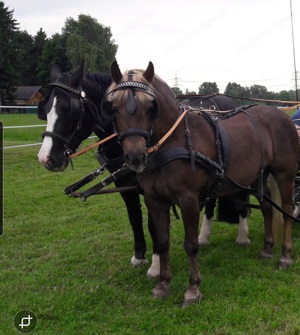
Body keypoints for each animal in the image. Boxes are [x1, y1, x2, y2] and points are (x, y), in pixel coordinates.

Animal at [102, 61, 298, 308]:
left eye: (151, 107)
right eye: (113, 107)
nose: (135, 156)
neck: (172, 141)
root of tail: (281, 114)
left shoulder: (189, 200)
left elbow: (191, 244)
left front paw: (193, 289)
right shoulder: (155, 200)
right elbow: (162, 242)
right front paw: (162, 285)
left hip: (285, 175)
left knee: (288, 210)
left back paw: (285, 256)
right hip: (258, 176)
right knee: (267, 209)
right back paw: (267, 249)